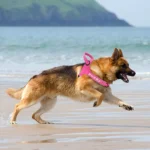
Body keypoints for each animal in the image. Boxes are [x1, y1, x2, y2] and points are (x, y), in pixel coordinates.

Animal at [6, 48, 136, 124]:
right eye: (123, 65)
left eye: (128, 65)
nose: (134, 73)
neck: (100, 71)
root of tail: (34, 77)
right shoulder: (84, 87)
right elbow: (99, 95)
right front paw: (96, 103)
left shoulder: (108, 95)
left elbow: (118, 100)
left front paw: (127, 105)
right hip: (32, 100)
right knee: (17, 106)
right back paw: (13, 121)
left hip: (49, 104)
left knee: (34, 115)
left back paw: (43, 122)